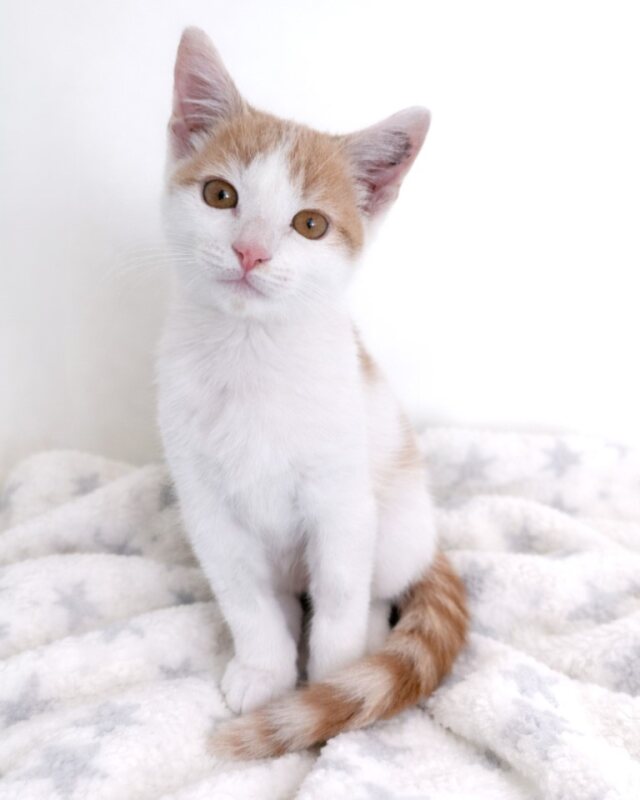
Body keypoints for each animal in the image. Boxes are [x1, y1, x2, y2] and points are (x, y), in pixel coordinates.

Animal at [156, 27, 468, 759]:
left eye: (310, 226)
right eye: (220, 195)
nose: (250, 252)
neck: (251, 354)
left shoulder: (340, 498)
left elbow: (342, 595)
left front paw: (333, 686)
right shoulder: (205, 503)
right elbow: (244, 598)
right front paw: (264, 672)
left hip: (399, 516)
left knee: (378, 587)